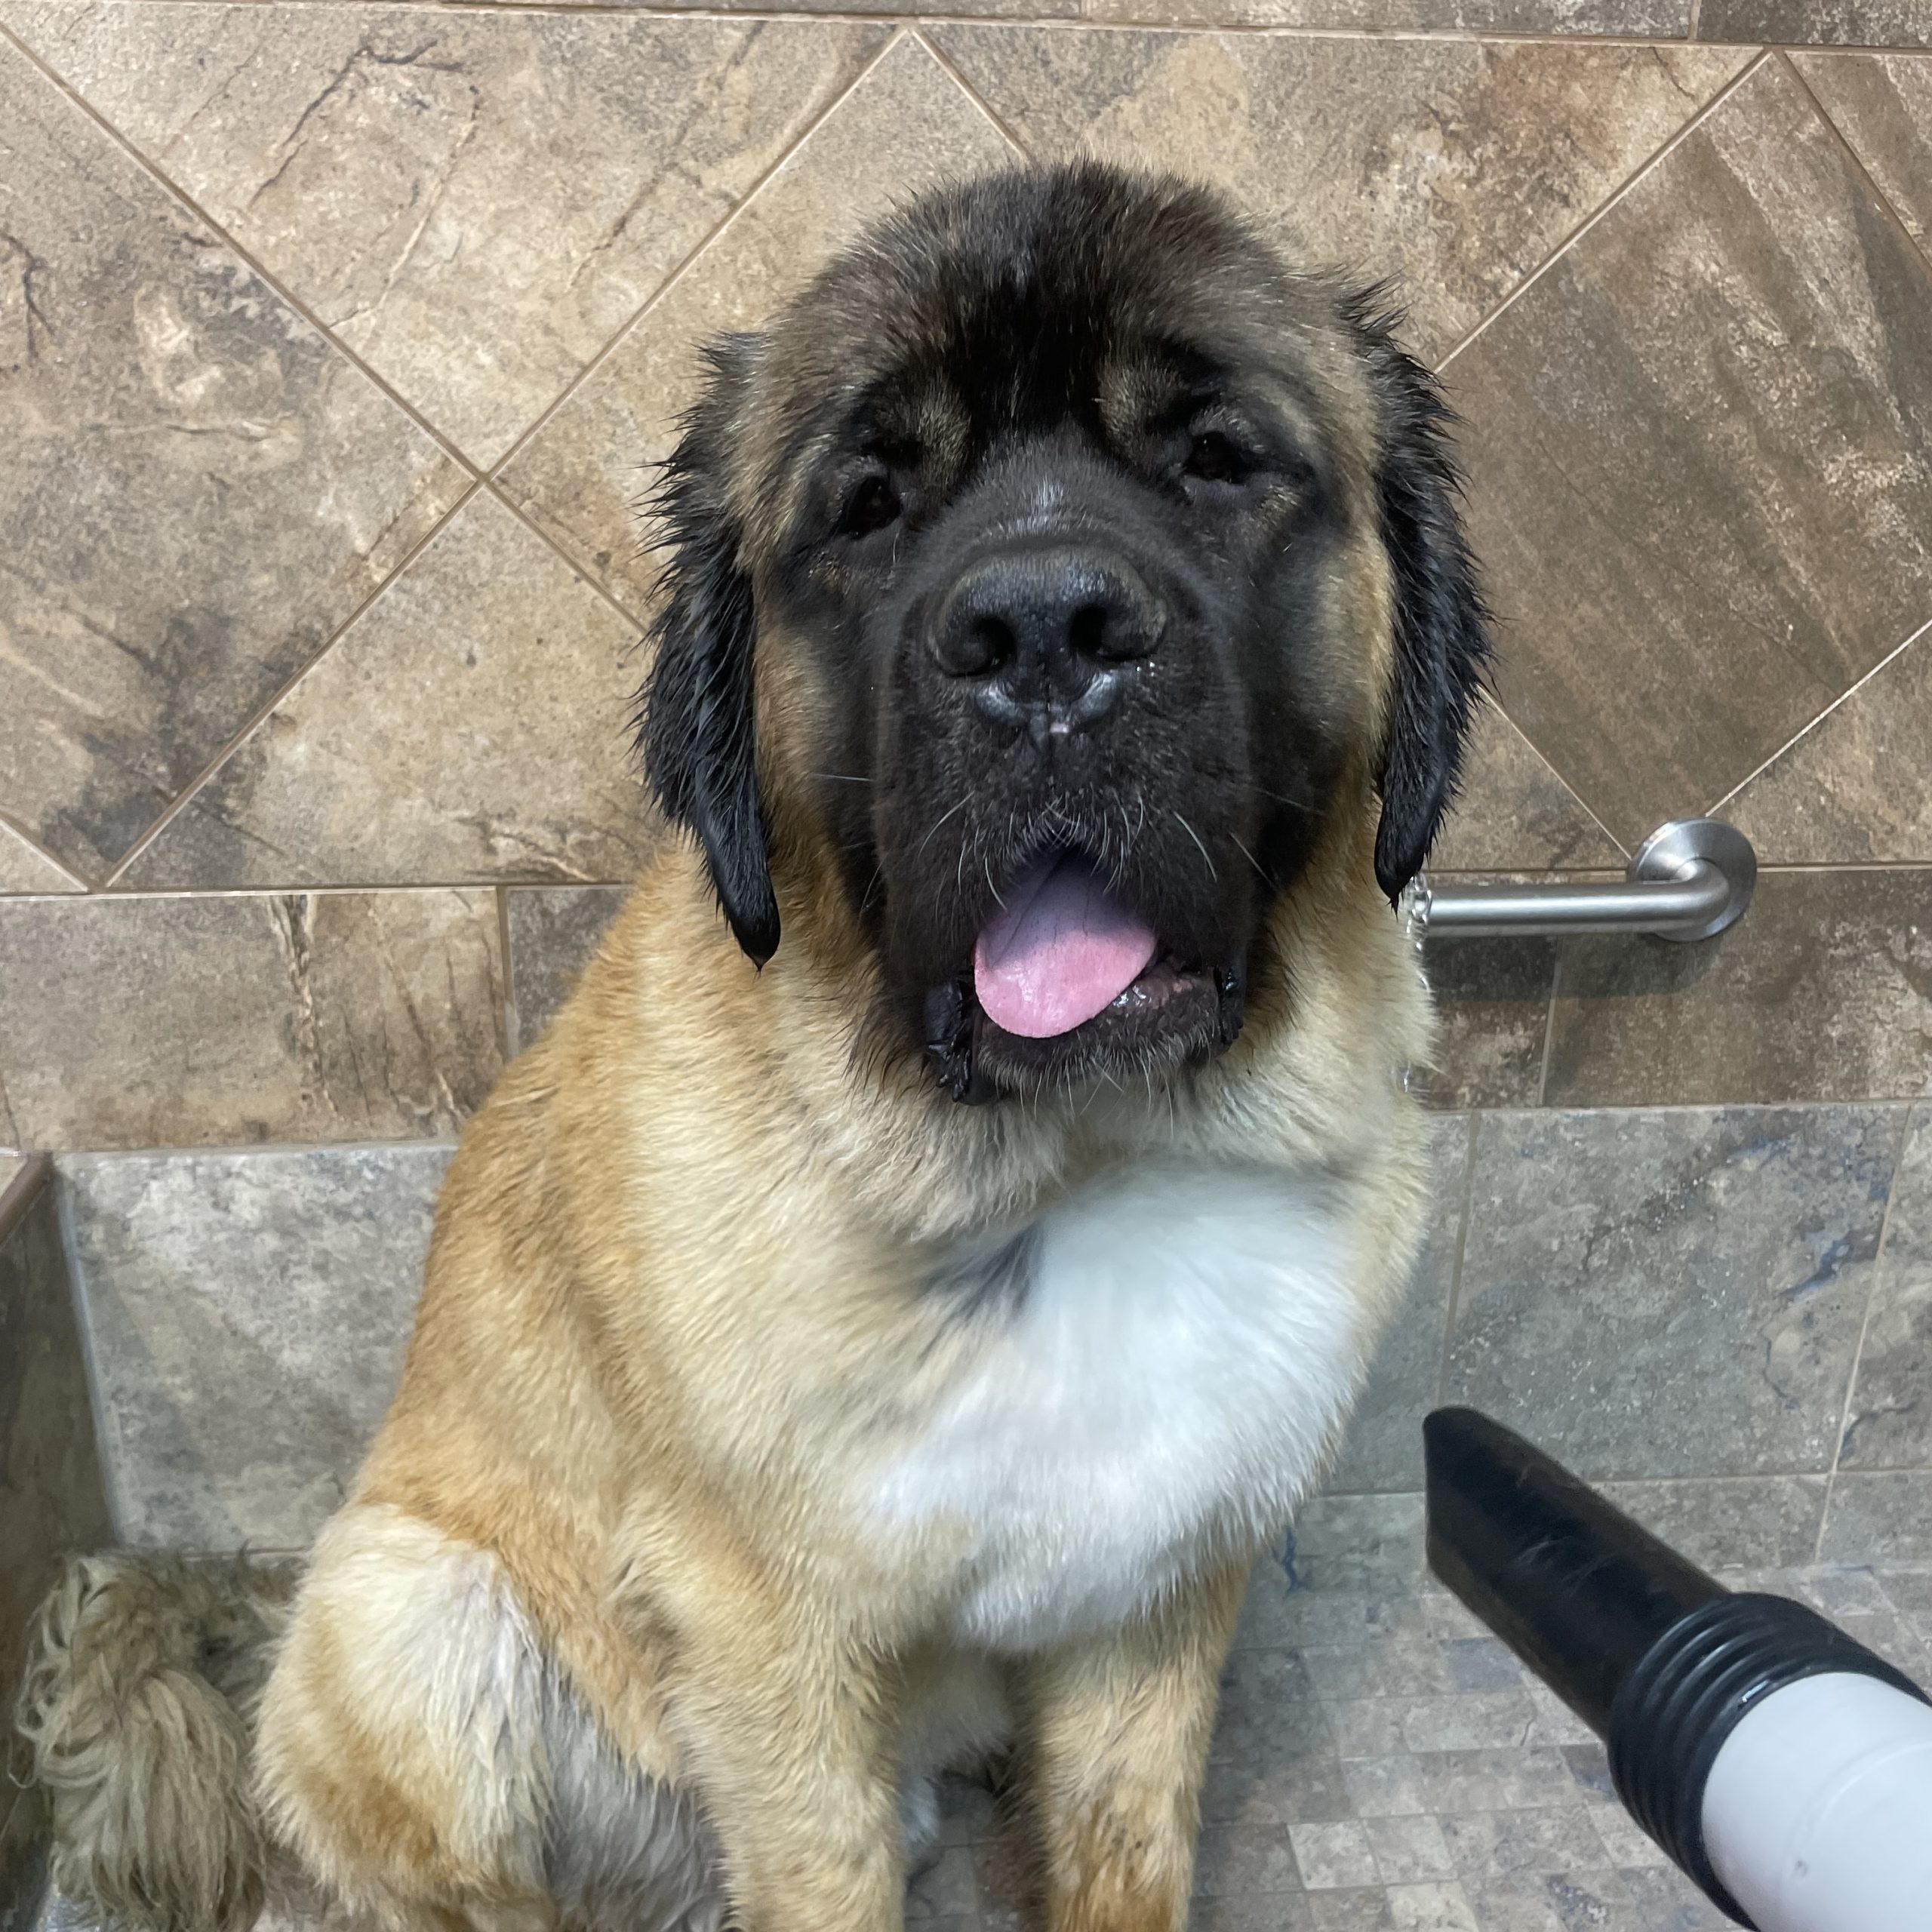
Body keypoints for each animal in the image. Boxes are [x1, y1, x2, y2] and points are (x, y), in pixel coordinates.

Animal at [19, 160, 1487, 1932]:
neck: (1084, 1171)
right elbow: (824, 1873)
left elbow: (1122, 1851)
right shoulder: (769, 1643)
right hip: (415, 1616)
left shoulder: (1152, 1613)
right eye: (867, 505)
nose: (1043, 629)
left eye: (1216, 457)